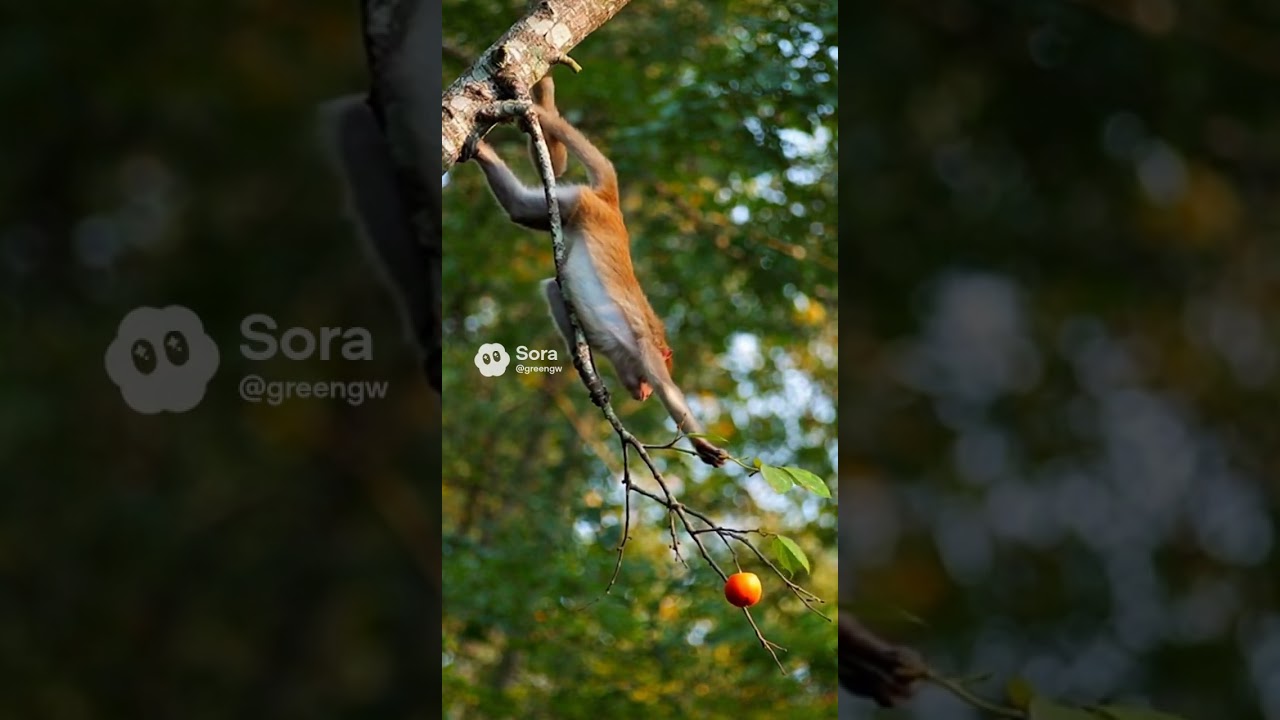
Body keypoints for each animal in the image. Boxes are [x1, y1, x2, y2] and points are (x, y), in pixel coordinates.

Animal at [466, 77, 729, 467]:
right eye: (647, 384)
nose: (644, 394)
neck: (624, 358)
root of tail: (613, 208)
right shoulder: (647, 351)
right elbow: (670, 389)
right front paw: (702, 444)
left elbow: (554, 289)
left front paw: (587, 374)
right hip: (582, 203)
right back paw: (540, 110)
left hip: (571, 208)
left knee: (520, 209)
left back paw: (494, 145)